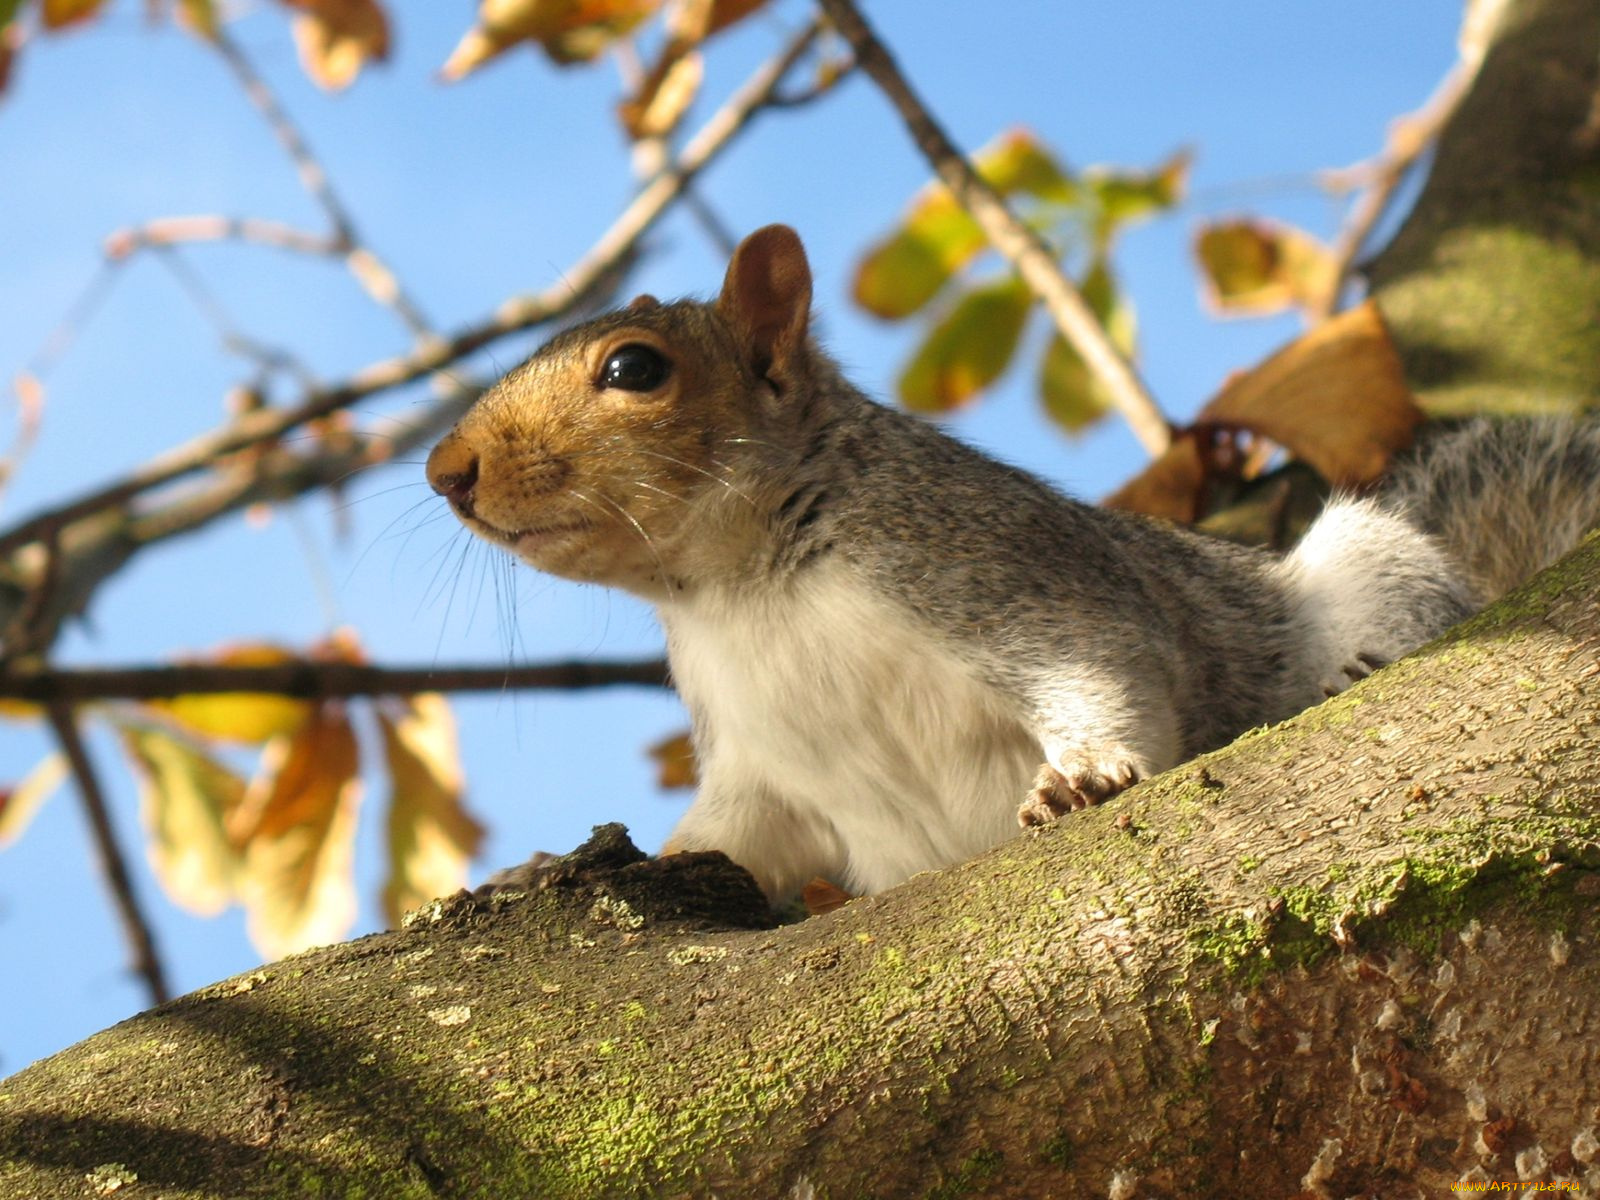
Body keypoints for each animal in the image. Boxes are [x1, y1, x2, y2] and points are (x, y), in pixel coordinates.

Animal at [425, 224, 1600, 902]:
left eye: (634, 369)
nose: (445, 469)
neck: (746, 589)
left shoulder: (996, 568)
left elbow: (1105, 668)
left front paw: (1084, 775)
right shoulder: (760, 767)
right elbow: (729, 844)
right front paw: (556, 867)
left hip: (1368, 564)